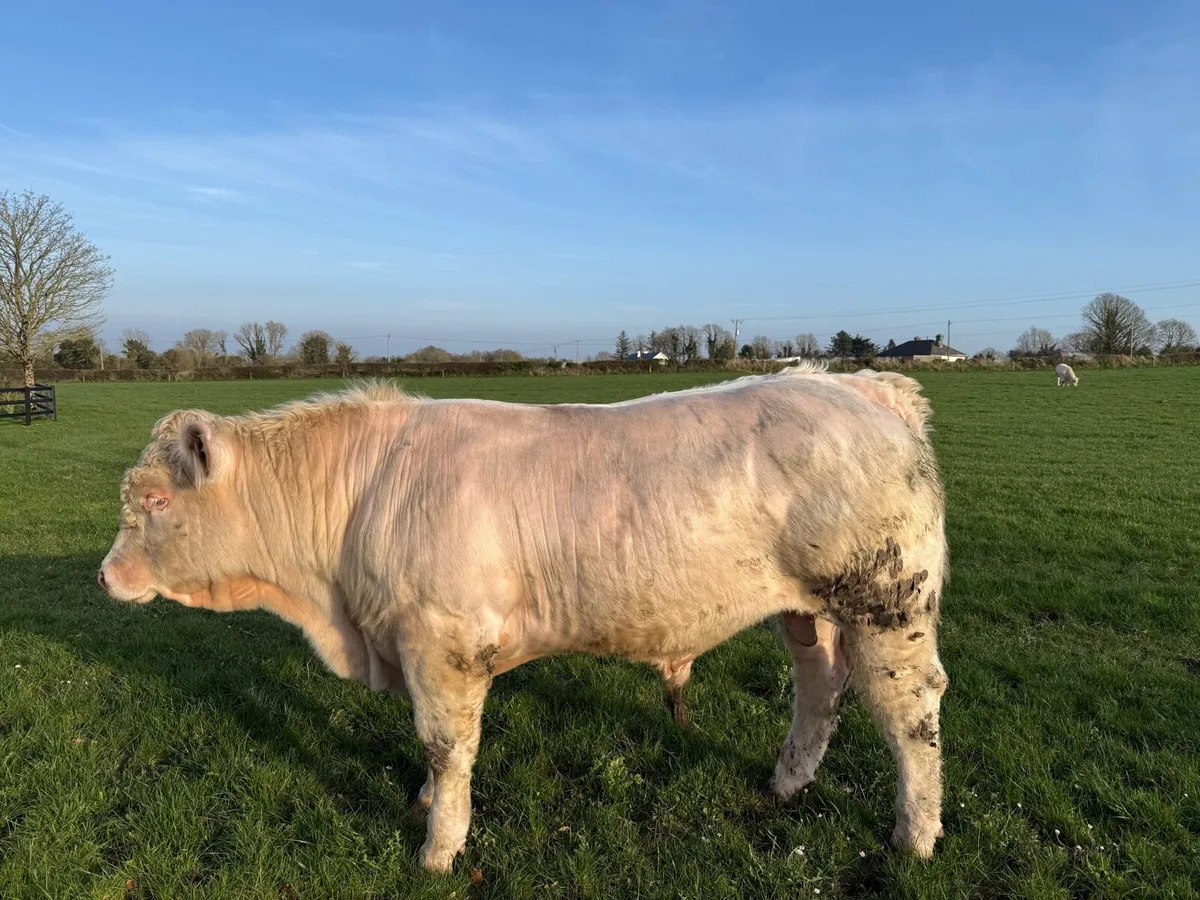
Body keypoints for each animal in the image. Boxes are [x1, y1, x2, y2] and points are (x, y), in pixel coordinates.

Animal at [98, 363, 950, 872]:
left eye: (156, 501)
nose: (106, 575)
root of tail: (854, 385)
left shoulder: (440, 644)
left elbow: (447, 746)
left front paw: (438, 848)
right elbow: (432, 746)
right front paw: (423, 803)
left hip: (888, 603)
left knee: (911, 714)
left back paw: (915, 837)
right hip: (811, 610)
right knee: (820, 689)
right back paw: (785, 784)